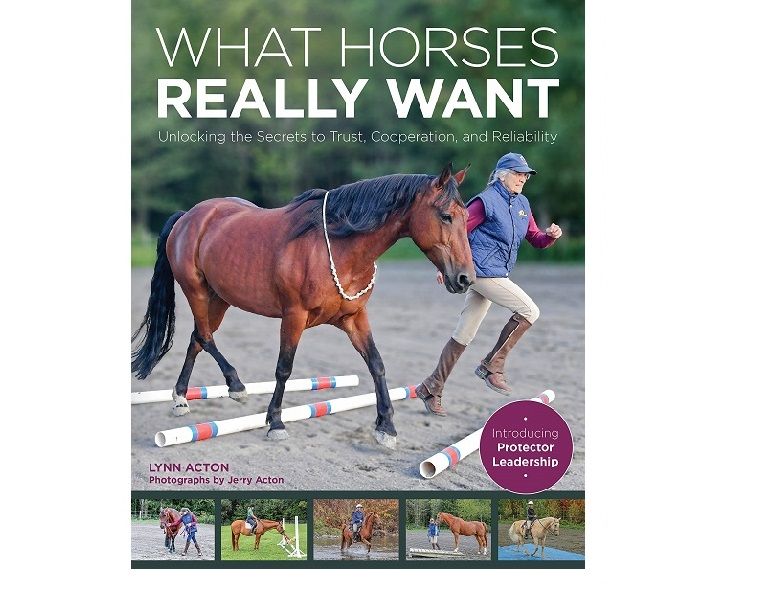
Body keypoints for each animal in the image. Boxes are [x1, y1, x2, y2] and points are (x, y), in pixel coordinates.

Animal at [131, 165, 474, 449]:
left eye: (465, 215)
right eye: (446, 216)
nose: (464, 278)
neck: (338, 245)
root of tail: (189, 216)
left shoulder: (355, 317)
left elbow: (376, 364)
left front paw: (386, 427)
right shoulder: (293, 316)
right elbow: (284, 368)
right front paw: (275, 422)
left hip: (220, 299)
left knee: (197, 338)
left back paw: (180, 398)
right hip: (197, 292)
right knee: (204, 336)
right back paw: (235, 385)